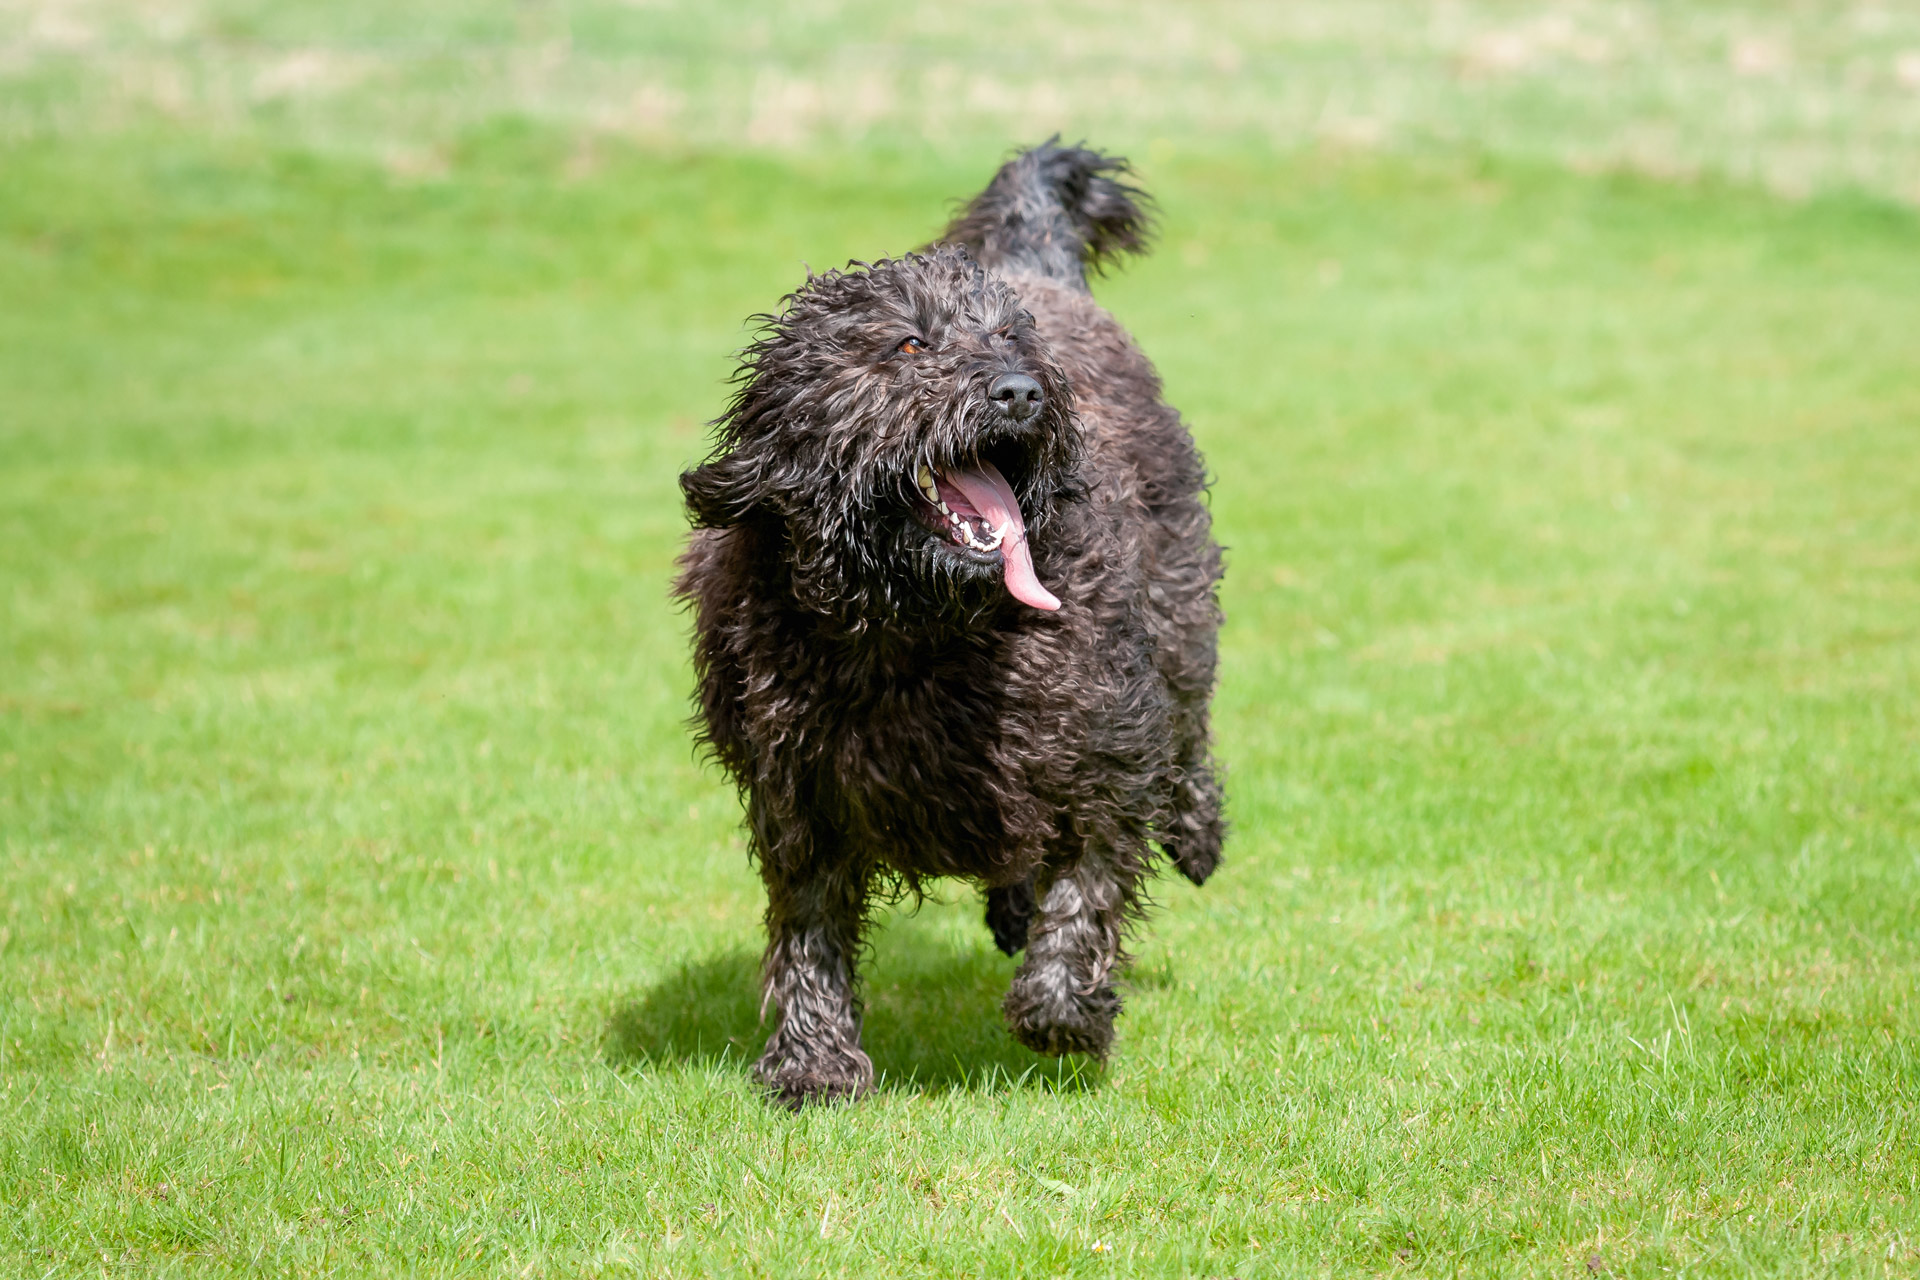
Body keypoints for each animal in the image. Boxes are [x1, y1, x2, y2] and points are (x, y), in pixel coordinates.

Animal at [675, 138, 1221, 1105]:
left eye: (1008, 339)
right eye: (908, 344)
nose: (1021, 392)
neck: (915, 635)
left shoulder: (1103, 749)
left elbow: (1090, 885)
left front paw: (1062, 1008)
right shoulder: (798, 794)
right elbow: (808, 932)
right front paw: (814, 1063)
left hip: (1180, 599)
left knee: (1189, 717)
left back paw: (1194, 829)